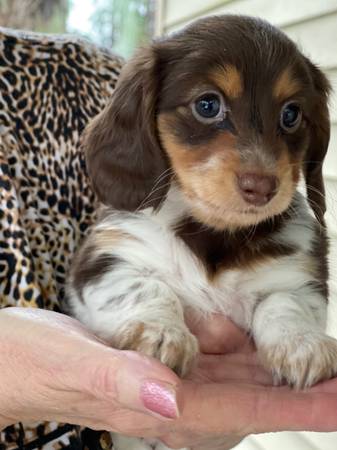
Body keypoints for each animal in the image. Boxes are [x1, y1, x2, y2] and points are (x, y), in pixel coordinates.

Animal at [65, 14, 334, 450]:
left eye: (292, 114)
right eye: (207, 105)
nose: (262, 187)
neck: (215, 232)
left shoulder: (298, 277)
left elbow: (284, 304)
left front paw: (303, 346)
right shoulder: (106, 258)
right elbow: (146, 288)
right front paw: (159, 332)